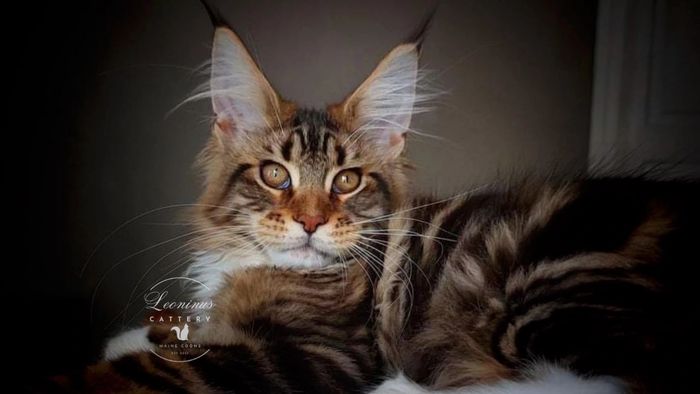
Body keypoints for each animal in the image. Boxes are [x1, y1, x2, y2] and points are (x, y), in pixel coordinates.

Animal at [56, 6, 700, 394]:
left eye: (346, 182)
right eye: (274, 174)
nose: (311, 222)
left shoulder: (317, 352)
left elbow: (163, 367)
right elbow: (179, 329)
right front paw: (138, 331)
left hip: (546, 287)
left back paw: (403, 385)